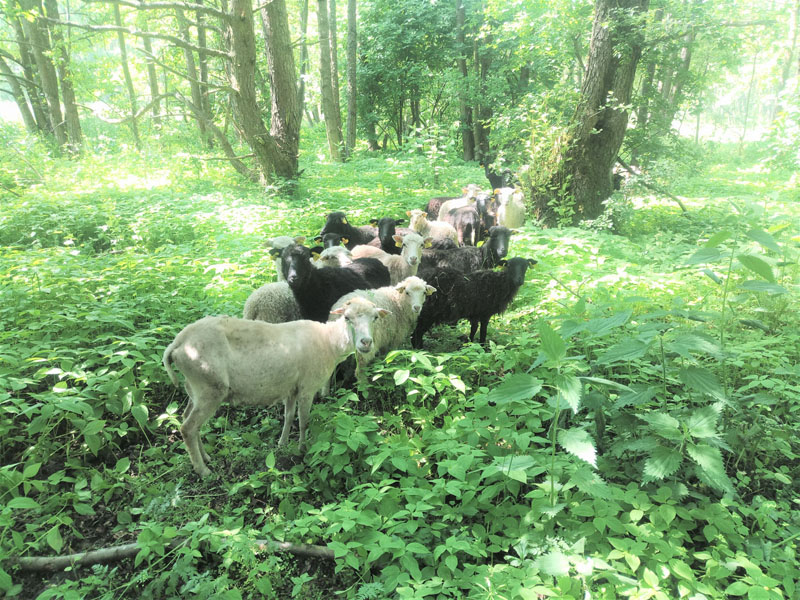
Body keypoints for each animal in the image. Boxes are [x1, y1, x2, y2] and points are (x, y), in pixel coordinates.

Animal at [162, 296, 388, 478]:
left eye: (375, 318)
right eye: (347, 318)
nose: (366, 342)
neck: (329, 342)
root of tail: (178, 343)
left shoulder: (291, 388)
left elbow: (289, 416)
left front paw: (282, 444)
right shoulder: (307, 387)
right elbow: (303, 421)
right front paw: (302, 448)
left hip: (194, 388)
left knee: (189, 421)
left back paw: (206, 457)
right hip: (209, 387)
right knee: (188, 428)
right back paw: (203, 470)